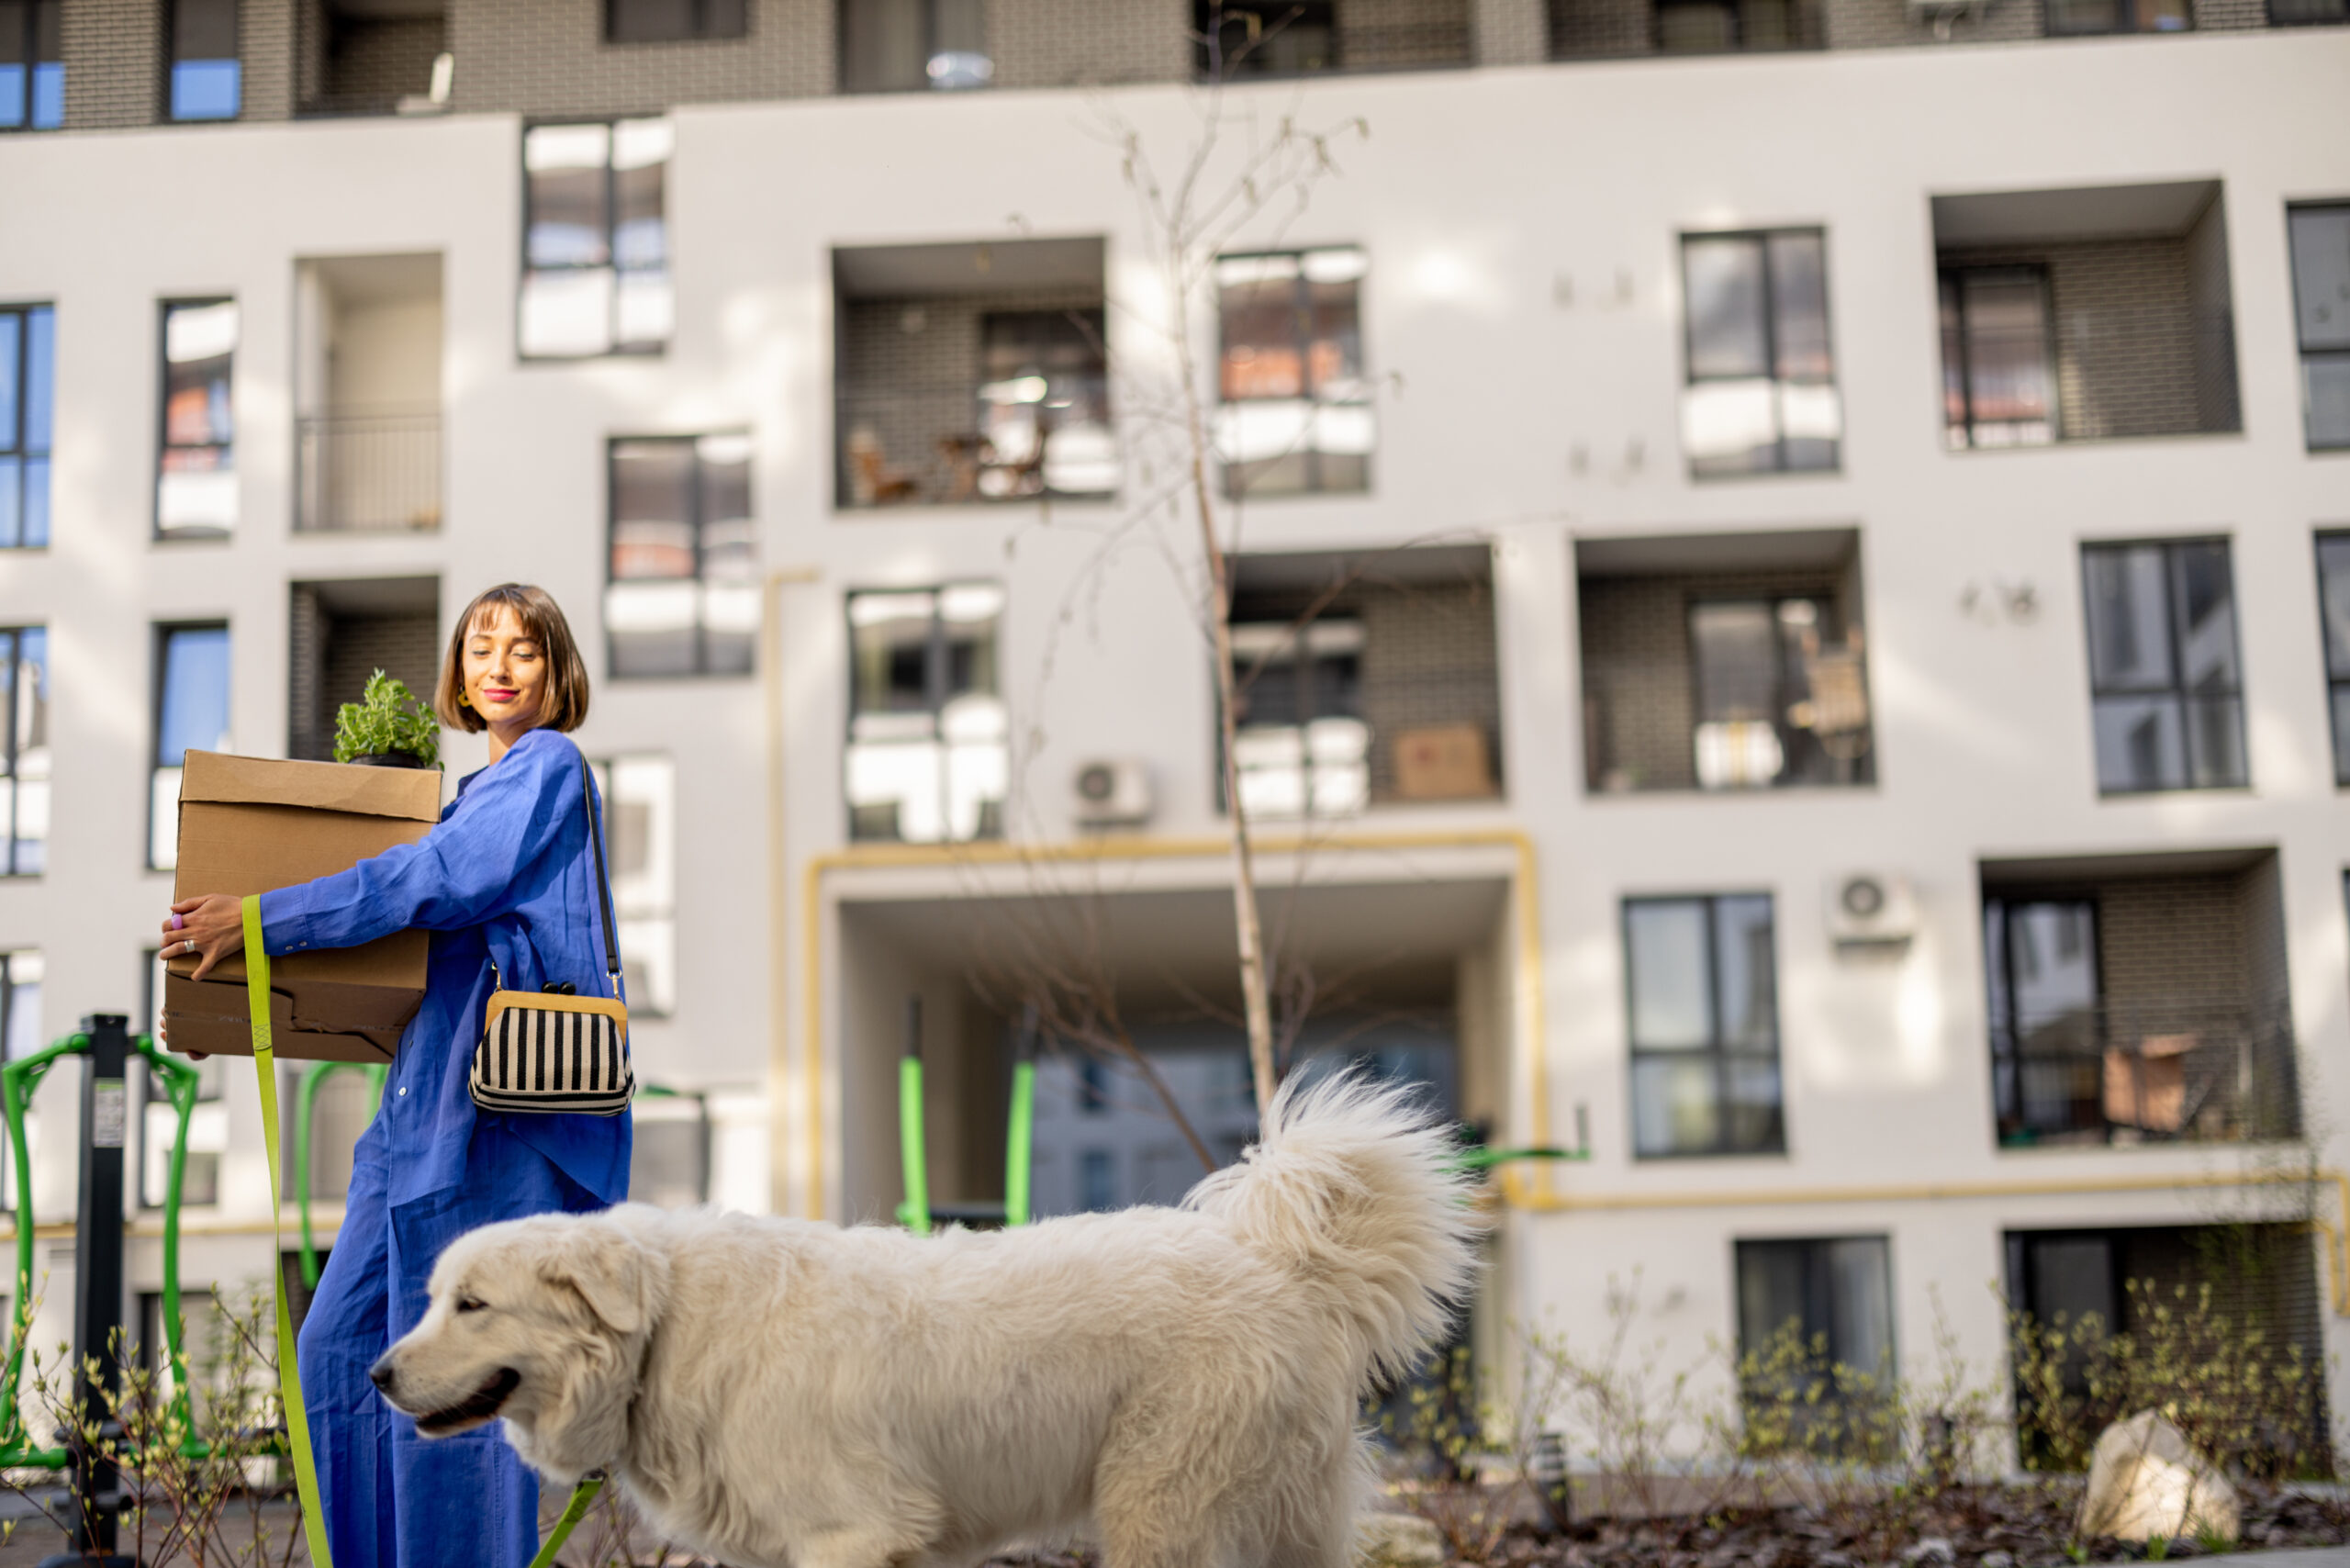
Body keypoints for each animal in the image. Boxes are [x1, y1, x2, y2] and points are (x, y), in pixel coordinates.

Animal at [371, 1081, 1466, 1568]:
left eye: (471, 1305)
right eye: (433, 1298)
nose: (376, 1376)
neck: (671, 1330)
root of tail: (1278, 1266)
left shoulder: (848, 1536)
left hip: (1165, 1515)